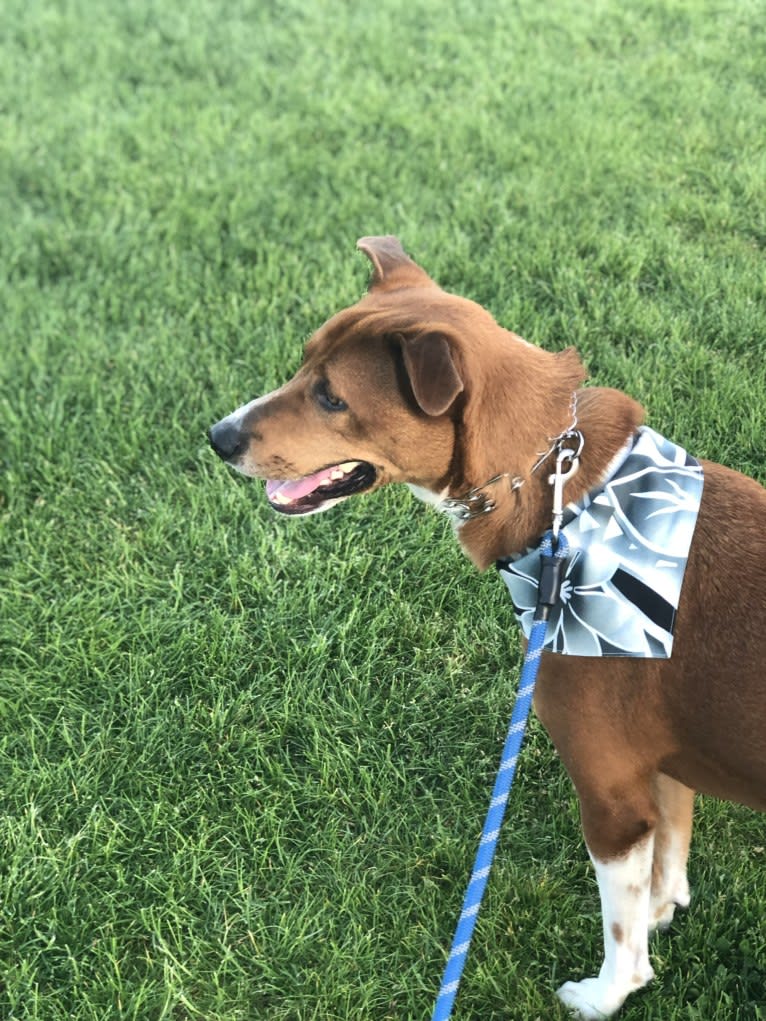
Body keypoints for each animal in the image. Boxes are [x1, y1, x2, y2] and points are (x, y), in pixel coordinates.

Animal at [208, 236, 766, 1012]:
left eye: (333, 398)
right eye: (301, 364)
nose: (217, 436)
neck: (566, 494)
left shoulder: (612, 796)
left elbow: (624, 937)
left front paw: (604, 995)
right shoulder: (664, 763)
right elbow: (670, 862)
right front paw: (664, 910)